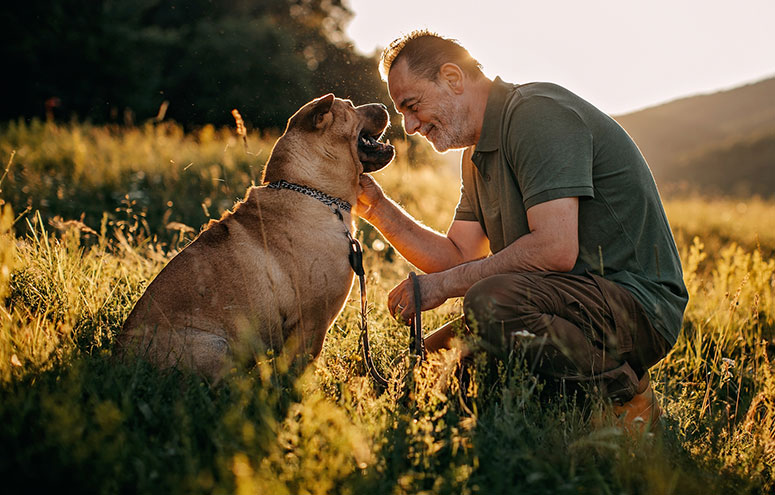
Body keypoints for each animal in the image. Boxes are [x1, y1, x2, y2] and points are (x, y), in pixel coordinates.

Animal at [118, 95, 398, 382]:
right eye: (351, 106)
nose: (385, 106)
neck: (313, 191)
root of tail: (122, 358)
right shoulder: (313, 321)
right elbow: (299, 367)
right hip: (216, 346)